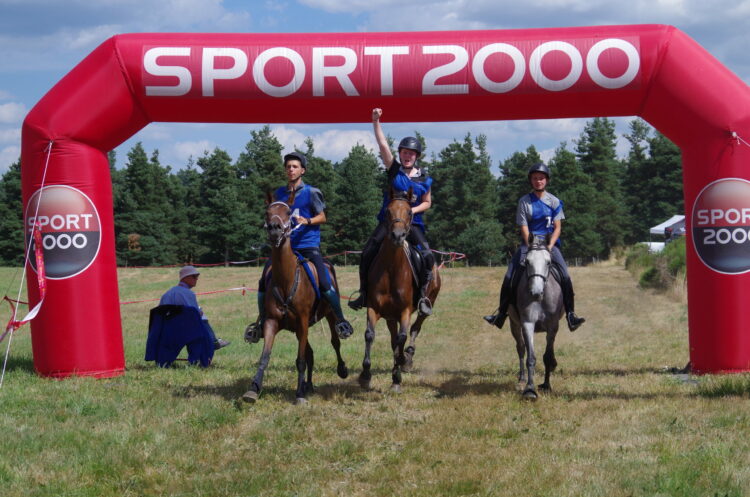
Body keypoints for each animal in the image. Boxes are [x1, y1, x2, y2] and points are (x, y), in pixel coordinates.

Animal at [245, 190, 352, 404]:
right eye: (267, 212)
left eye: (288, 212)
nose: (275, 229)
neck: (286, 281)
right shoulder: (272, 322)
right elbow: (265, 357)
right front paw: (253, 388)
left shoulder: (302, 322)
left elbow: (301, 360)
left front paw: (299, 395)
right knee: (310, 353)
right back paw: (308, 385)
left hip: (328, 316)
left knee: (334, 342)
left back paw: (340, 369)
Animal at [358, 187, 440, 392]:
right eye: (388, 211)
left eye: (410, 212)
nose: (397, 236)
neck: (391, 269)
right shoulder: (374, 308)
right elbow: (370, 335)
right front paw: (365, 376)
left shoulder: (405, 311)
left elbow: (402, 338)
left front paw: (397, 376)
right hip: (390, 316)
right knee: (393, 339)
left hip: (425, 305)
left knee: (415, 328)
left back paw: (408, 357)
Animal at [512, 234, 564, 402]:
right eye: (527, 262)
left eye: (548, 262)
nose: (535, 292)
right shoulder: (527, 323)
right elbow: (531, 357)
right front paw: (530, 389)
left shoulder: (553, 326)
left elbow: (547, 356)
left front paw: (546, 385)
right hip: (514, 324)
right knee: (521, 348)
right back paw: (522, 379)